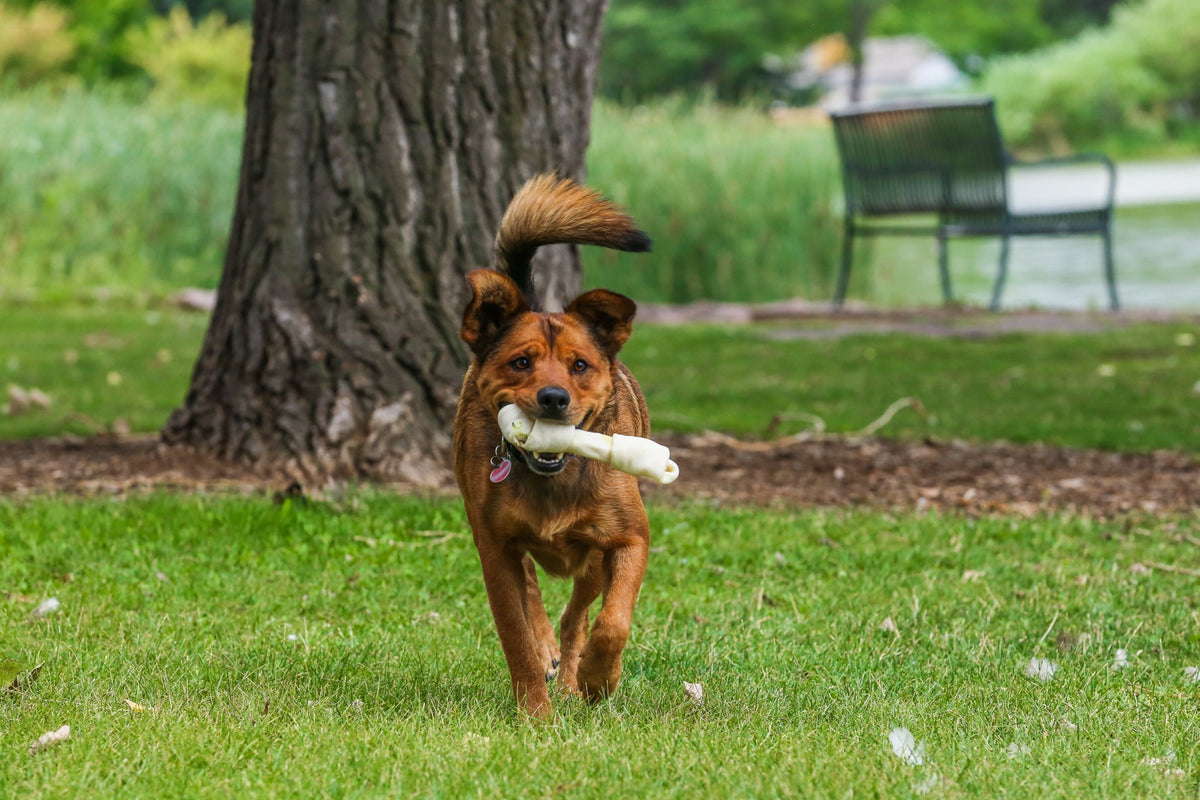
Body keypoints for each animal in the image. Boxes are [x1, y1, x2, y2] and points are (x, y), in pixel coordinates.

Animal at [451, 175, 657, 719]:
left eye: (579, 365)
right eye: (521, 362)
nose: (553, 398)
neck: (554, 477)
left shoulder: (628, 540)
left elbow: (613, 622)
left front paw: (598, 680)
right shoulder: (494, 549)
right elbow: (517, 636)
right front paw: (536, 715)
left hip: (592, 560)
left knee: (576, 616)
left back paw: (571, 679)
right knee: (534, 593)